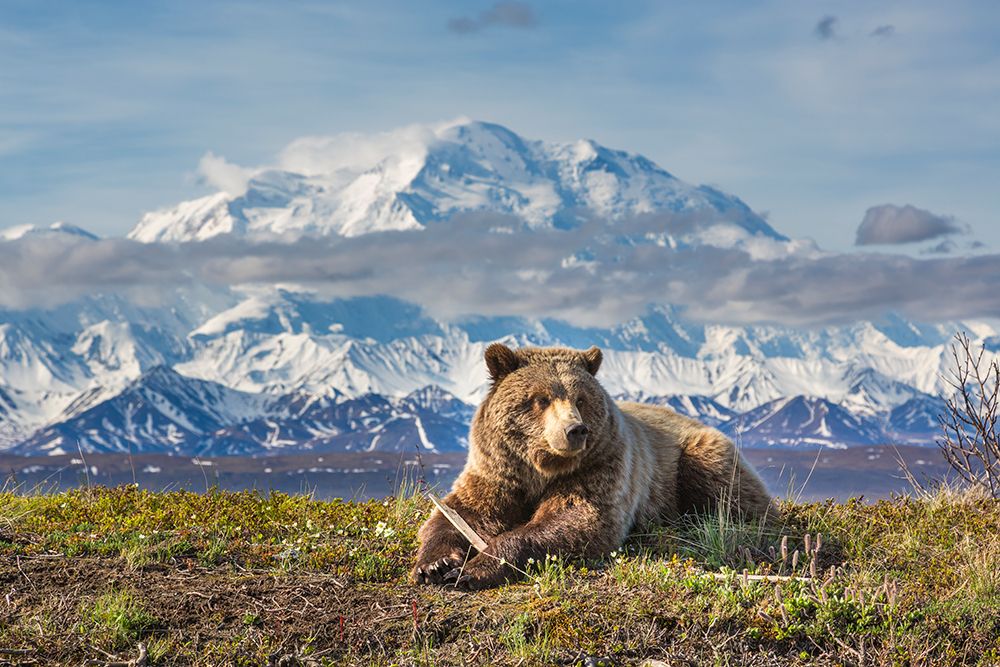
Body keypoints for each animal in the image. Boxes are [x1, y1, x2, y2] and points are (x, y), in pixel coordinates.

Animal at [412, 343, 774, 590]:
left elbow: (576, 518)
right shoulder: (498, 472)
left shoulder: (599, 467)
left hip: (695, 455)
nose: (575, 430)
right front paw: (436, 564)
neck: (540, 469)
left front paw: (476, 567)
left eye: (580, 398)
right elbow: (463, 512)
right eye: (540, 398)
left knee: (728, 492)